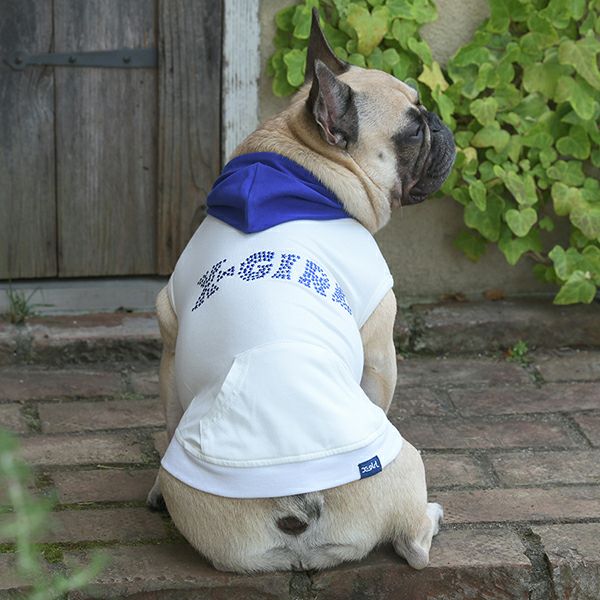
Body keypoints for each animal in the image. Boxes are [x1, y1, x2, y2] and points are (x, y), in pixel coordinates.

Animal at [147, 11, 455, 573]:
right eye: (413, 130)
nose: (440, 124)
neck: (301, 161)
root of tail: (295, 503)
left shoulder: (170, 337)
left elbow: (170, 410)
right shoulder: (380, 346)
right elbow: (379, 387)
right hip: (405, 461)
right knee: (413, 546)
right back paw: (431, 517)